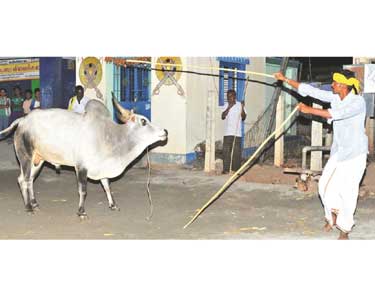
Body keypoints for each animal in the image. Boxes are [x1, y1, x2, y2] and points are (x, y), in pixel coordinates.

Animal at [0, 92, 167, 219]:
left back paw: (34, 203)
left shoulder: (102, 167)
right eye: (143, 121)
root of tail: (23, 120)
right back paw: (28, 206)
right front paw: (81, 212)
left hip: (38, 161)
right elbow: (83, 190)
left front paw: (113, 205)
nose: (165, 131)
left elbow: (107, 187)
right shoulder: (81, 167)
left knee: (27, 180)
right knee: (25, 180)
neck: (110, 136)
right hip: (26, 158)